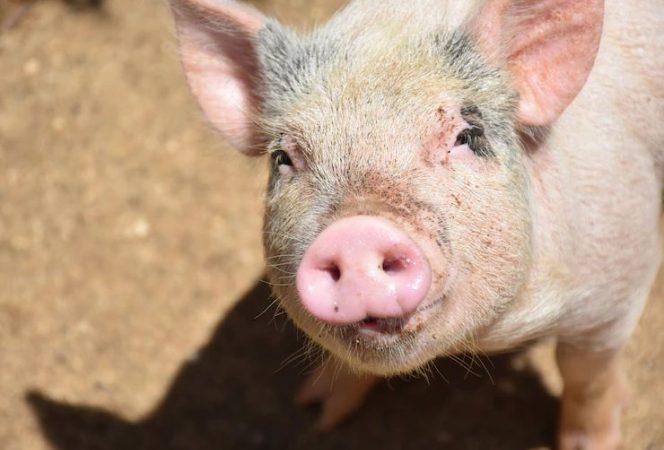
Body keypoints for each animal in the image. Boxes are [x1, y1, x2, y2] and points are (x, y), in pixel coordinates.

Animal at [169, 0, 664, 446]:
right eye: (284, 158)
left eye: (467, 136)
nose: (357, 231)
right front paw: (316, 413)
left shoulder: (617, 281)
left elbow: (586, 376)